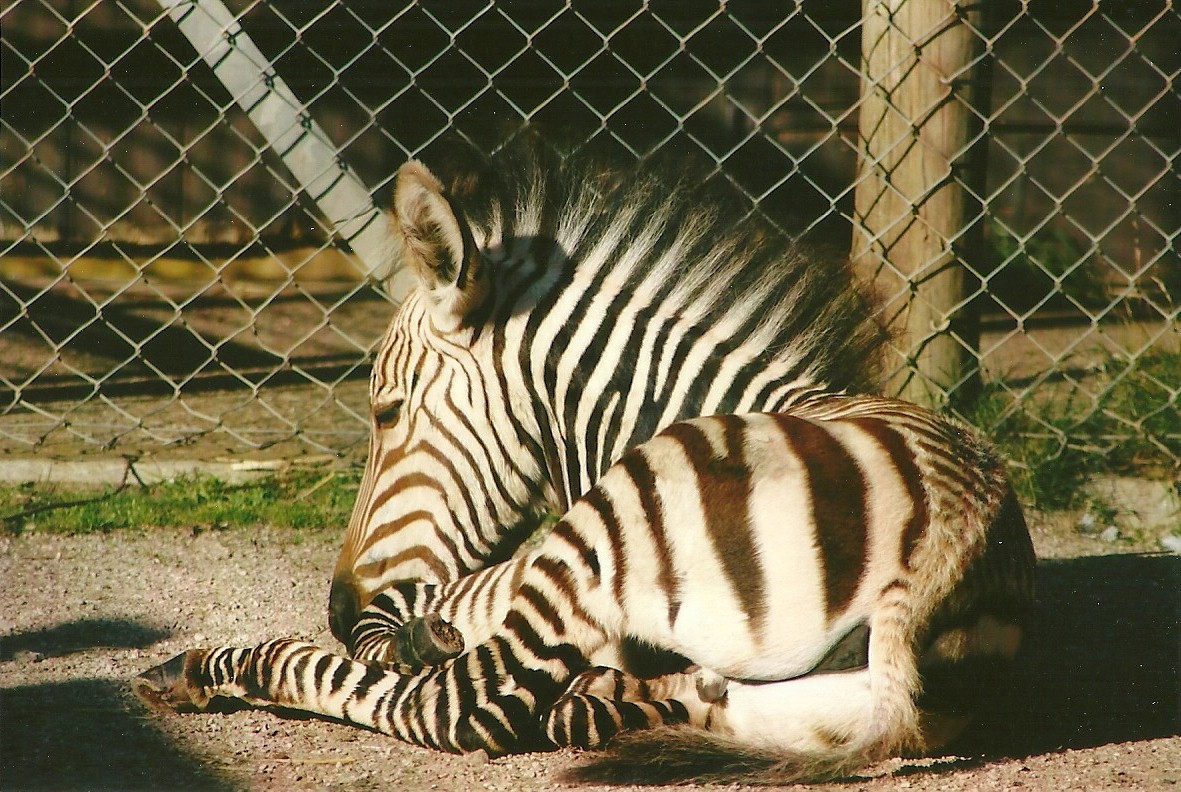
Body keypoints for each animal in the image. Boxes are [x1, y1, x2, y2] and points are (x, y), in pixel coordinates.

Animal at [136, 395, 1035, 784]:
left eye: (388, 417)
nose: (339, 604)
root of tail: (949, 534)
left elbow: (422, 634)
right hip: (817, 709)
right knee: (686, 697)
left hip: (617, 522)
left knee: (454, 708)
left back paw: (203, 670)